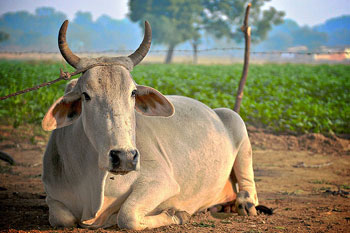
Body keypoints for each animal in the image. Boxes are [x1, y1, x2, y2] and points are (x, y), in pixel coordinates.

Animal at [41, 19, 260, 229]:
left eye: (133, 93)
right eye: (86, 95)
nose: (124, 157)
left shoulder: (161, 182)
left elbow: (127, 216)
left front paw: (177, 215)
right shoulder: (54, 196)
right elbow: (62, 218)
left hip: (236, 123)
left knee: (248, 186)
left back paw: (244, 203)